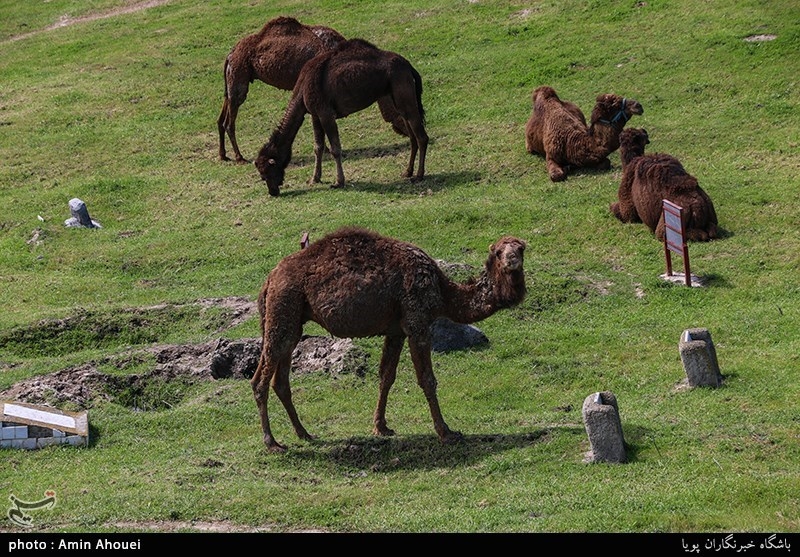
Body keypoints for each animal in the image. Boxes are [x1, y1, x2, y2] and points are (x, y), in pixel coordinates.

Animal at [217, 15, 406, 163]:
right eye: (398, 108)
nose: (405, 130)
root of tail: (230, 54)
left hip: (232, 78)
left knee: (221, 116)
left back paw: (223, 155)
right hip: (239, 74)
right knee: (229, 120)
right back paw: (239, 157)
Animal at [250, 224, 524, 450]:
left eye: (521, 248)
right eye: (498, 252)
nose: (512, 261)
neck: (442, 292)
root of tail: (269, 280)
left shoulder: (396, 331)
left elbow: (386, 377)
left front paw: (381, 427)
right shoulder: (417, 320)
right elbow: (427, 379)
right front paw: (446, 432)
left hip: (290, 319)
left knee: (280, 380)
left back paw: (304, 433)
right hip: (283, 307)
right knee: (260, 380)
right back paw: (272, 442)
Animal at [256, 38, 432, 195]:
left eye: (267, 172)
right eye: (262, 174)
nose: (273, 192)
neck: (302, 90)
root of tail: (409, 66)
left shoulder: (326, 113)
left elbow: (335, 149)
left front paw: (338, 182)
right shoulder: (315, 115)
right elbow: (318, 147)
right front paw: (315, 178)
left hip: (404, 93)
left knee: (422, 137)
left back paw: (419, 176)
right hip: (399, 99)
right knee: (412, 136)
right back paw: (407, 172)